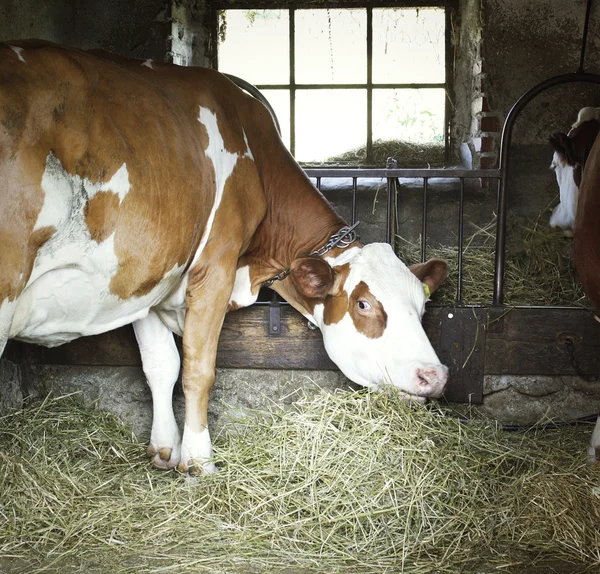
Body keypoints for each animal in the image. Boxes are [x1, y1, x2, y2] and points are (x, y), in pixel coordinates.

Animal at [1, 41, 450, 476]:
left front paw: (165, 449)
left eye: (423, 306)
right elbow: (198, 369)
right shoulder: (214, 265)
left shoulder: (146, 278)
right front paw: (199, 461)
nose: (435, 375)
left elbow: (161, 365)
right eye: (363, 304)